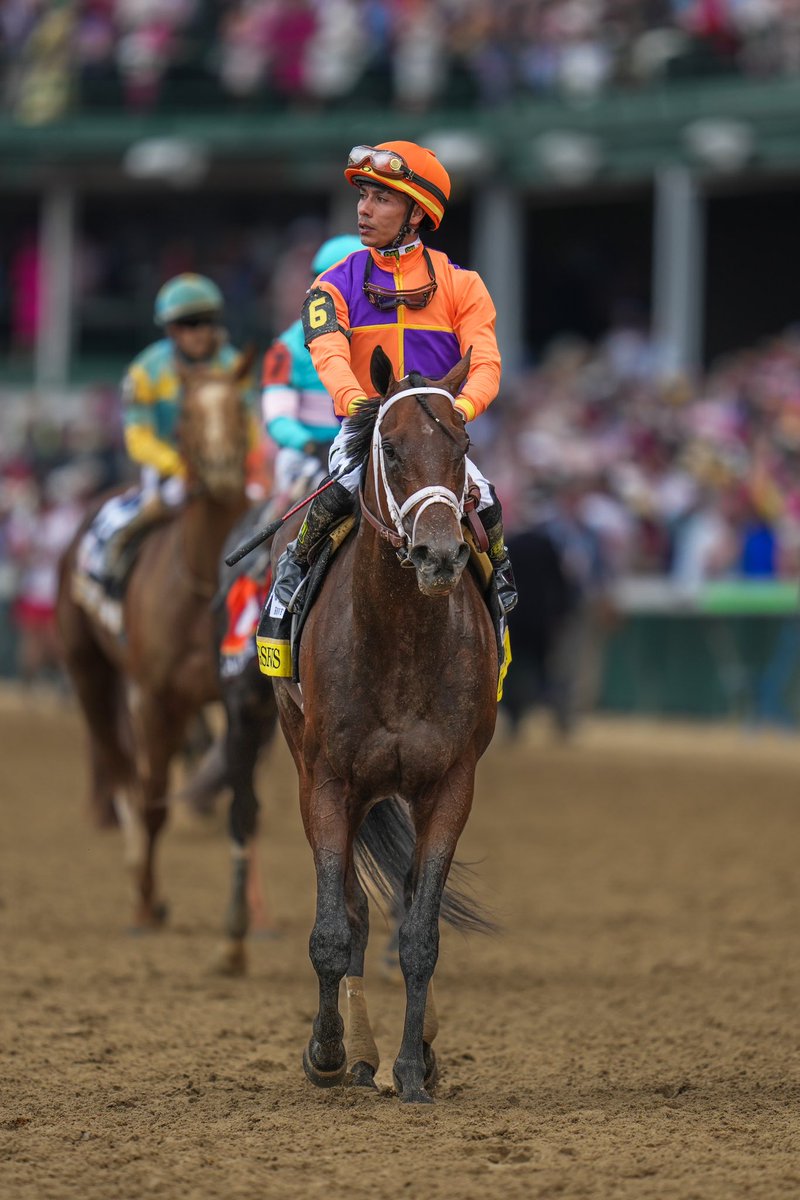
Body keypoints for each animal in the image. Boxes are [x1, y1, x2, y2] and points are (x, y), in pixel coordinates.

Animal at [56, 350, 253, 926]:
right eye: (186, 415)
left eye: (239, 407)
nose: (221, 470)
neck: (204, 584)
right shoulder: (153, 696)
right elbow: (151, 798)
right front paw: (145, 899)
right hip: (88, 670)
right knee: (121, 768)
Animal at [272, 343, 496, 1099]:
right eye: (391, 449)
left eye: (462, 446)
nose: (439, 553)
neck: (400, 639)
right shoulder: (328, 781)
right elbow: (334, 931)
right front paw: (327, 1052)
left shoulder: (451, 785)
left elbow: (421, 934)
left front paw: (413, 1067)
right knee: (355, 910)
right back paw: (355, 1051)